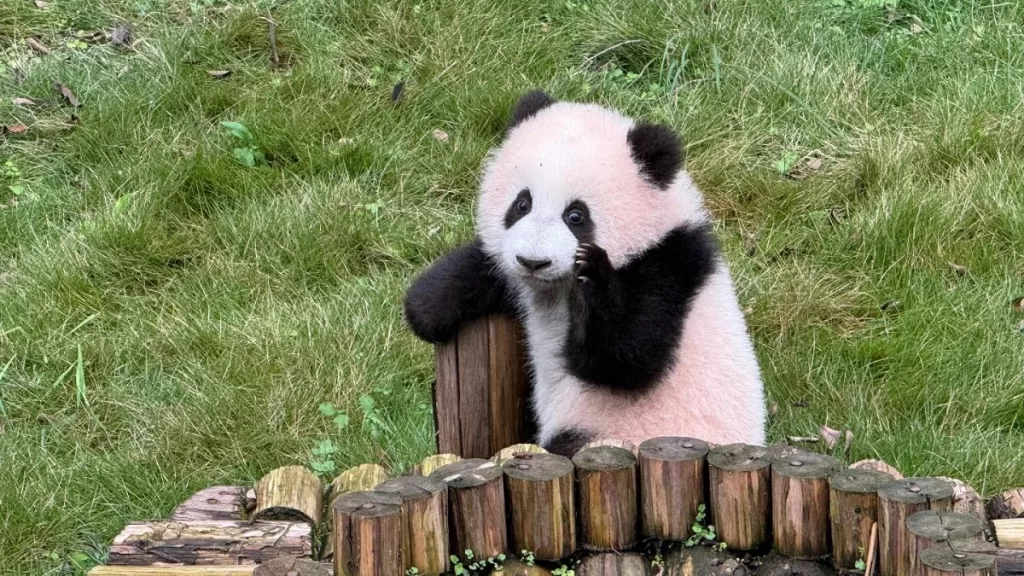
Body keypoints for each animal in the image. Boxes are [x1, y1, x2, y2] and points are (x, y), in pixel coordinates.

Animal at [403, 91, 766, 458]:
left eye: (576, 216)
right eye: (521, 204)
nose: (533, 261)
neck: (554, 290)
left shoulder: (668, 264)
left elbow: (626, 357)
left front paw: (593, 279)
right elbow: (486, 270)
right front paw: (428, 307)